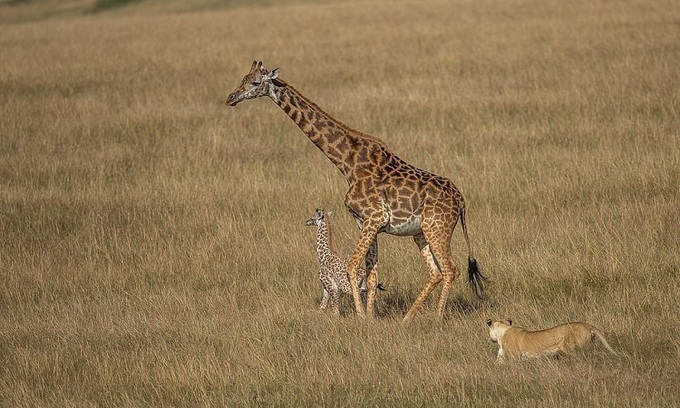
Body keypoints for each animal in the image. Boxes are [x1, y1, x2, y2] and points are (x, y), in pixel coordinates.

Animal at [228, 60, 484, 322]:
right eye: (242, 78)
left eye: (255, 82)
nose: (231, 98)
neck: (347, 163)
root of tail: (461, 201)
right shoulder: (365, 222)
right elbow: (371, 274)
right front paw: (371, 318)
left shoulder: (374, 218)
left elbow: (353, 266)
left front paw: (361, 315)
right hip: (420, 232)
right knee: (435, 272)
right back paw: (406, 319)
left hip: (437, 228)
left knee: (450, 269)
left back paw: (437, 318)